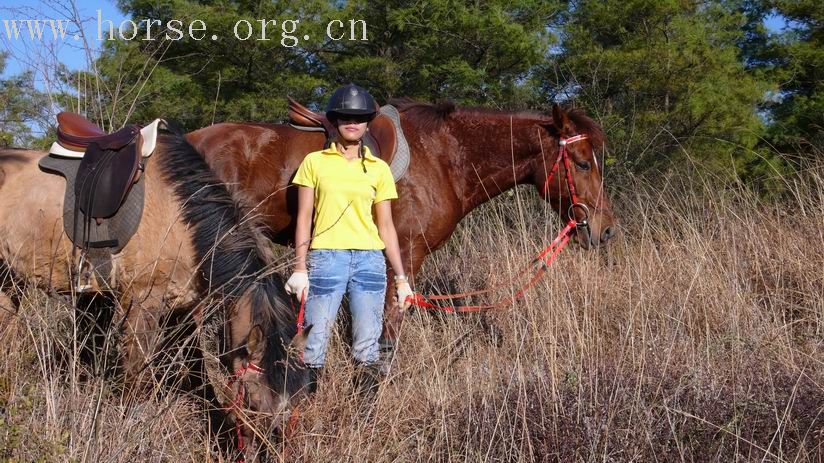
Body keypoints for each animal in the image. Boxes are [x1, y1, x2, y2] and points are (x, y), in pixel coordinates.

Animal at [0, 128, 308, 456]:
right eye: (251, 398)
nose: (263, 453)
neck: (183, 220)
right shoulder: (141, 304)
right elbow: (136, 376)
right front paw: (127, 424)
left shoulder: (184, 310)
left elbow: (198, 371)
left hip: (9, 281)